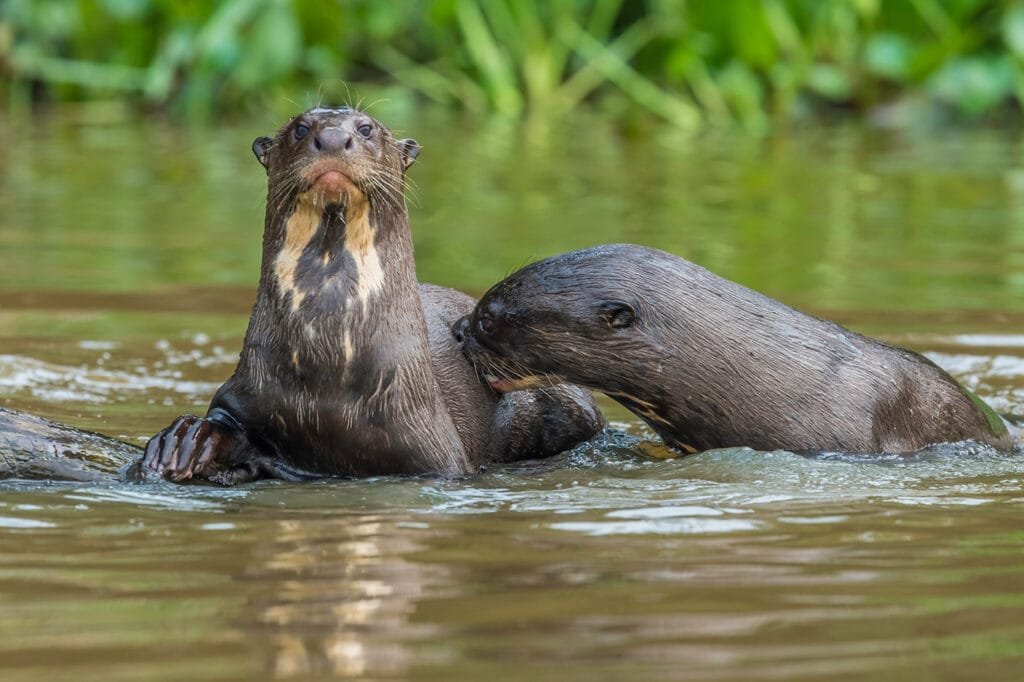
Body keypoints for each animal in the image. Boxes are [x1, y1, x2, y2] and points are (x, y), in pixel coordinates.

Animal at [137, 107, 602, 484]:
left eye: (365, 128)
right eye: (300, 127)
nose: (331, 138)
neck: (329, 367)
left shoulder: (437, 454)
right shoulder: (245, 393)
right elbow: (224, 419)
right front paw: (186, 441)